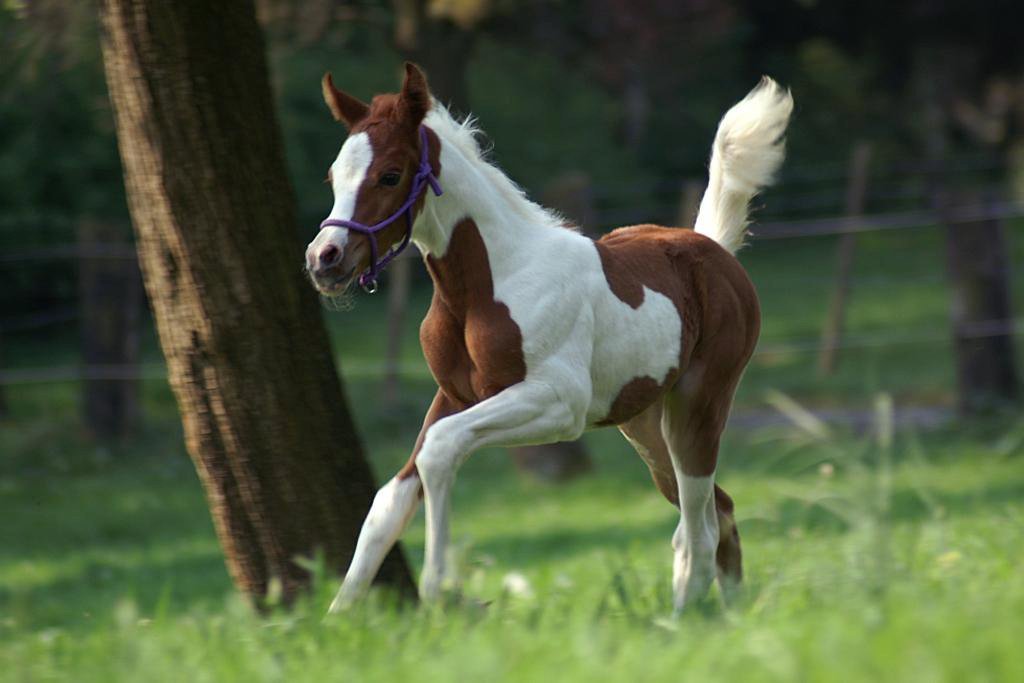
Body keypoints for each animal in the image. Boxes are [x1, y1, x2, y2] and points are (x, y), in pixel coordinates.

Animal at [307, 63, 794, 614]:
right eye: (334, 176)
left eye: (390, 174)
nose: (324, 259)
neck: (486, 285)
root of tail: (715, 250)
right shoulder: (452, 396)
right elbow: (388, 500)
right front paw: (338, 619)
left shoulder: (558, 403)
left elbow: (440, 449)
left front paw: (440, 587)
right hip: (643, 423)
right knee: (719, 511)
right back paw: (727, 615)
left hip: (699, 403)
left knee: (700, 529)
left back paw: (682, 621)